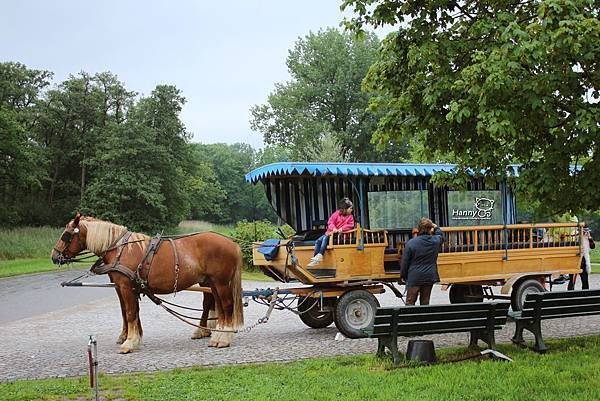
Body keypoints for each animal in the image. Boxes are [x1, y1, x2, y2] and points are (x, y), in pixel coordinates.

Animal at [51, 214, 244, 352]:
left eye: (66, 235)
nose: (54, 256)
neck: (120, 250)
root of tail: (232, 243)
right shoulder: (125, 287)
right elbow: (129, 312)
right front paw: (133, 337)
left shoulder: (125, 286)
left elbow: (129, 313)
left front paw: (129, 342)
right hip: (212, 283)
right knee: (216, 306)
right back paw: (215, 334)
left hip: (221, 282)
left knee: (226, 306)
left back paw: (223, 339)